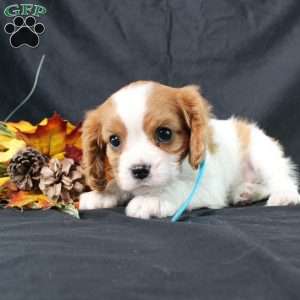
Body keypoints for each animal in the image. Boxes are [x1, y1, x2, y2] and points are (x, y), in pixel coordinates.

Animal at [79, 81, 300, 219]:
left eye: (164, 133)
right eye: (114, 141)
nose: (139, 170)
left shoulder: (209, 187)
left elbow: (177, 187)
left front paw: (153, 199)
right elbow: (118, 184)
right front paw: (101, 194)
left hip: (261, 151)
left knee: (279, 177)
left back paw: (284, 195)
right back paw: (246, 192)